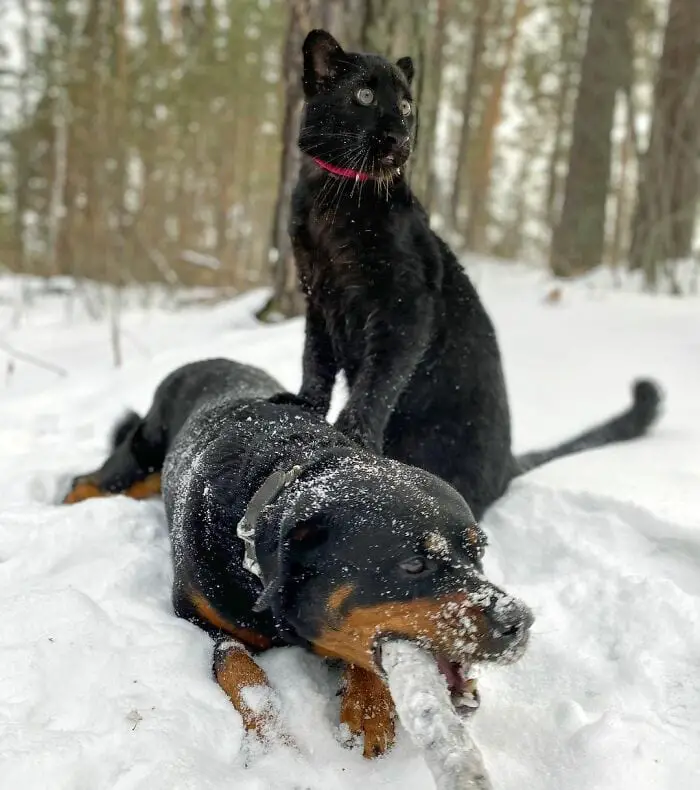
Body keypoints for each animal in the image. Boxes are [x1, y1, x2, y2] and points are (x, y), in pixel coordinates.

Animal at [67, 358, 536, 756]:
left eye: (478, 552)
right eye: (414, 565)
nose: (519, 621)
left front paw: (368, 704)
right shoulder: (194, 615)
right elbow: (238, 666)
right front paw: (272, 735)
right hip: (139, 457)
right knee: (91, 479)